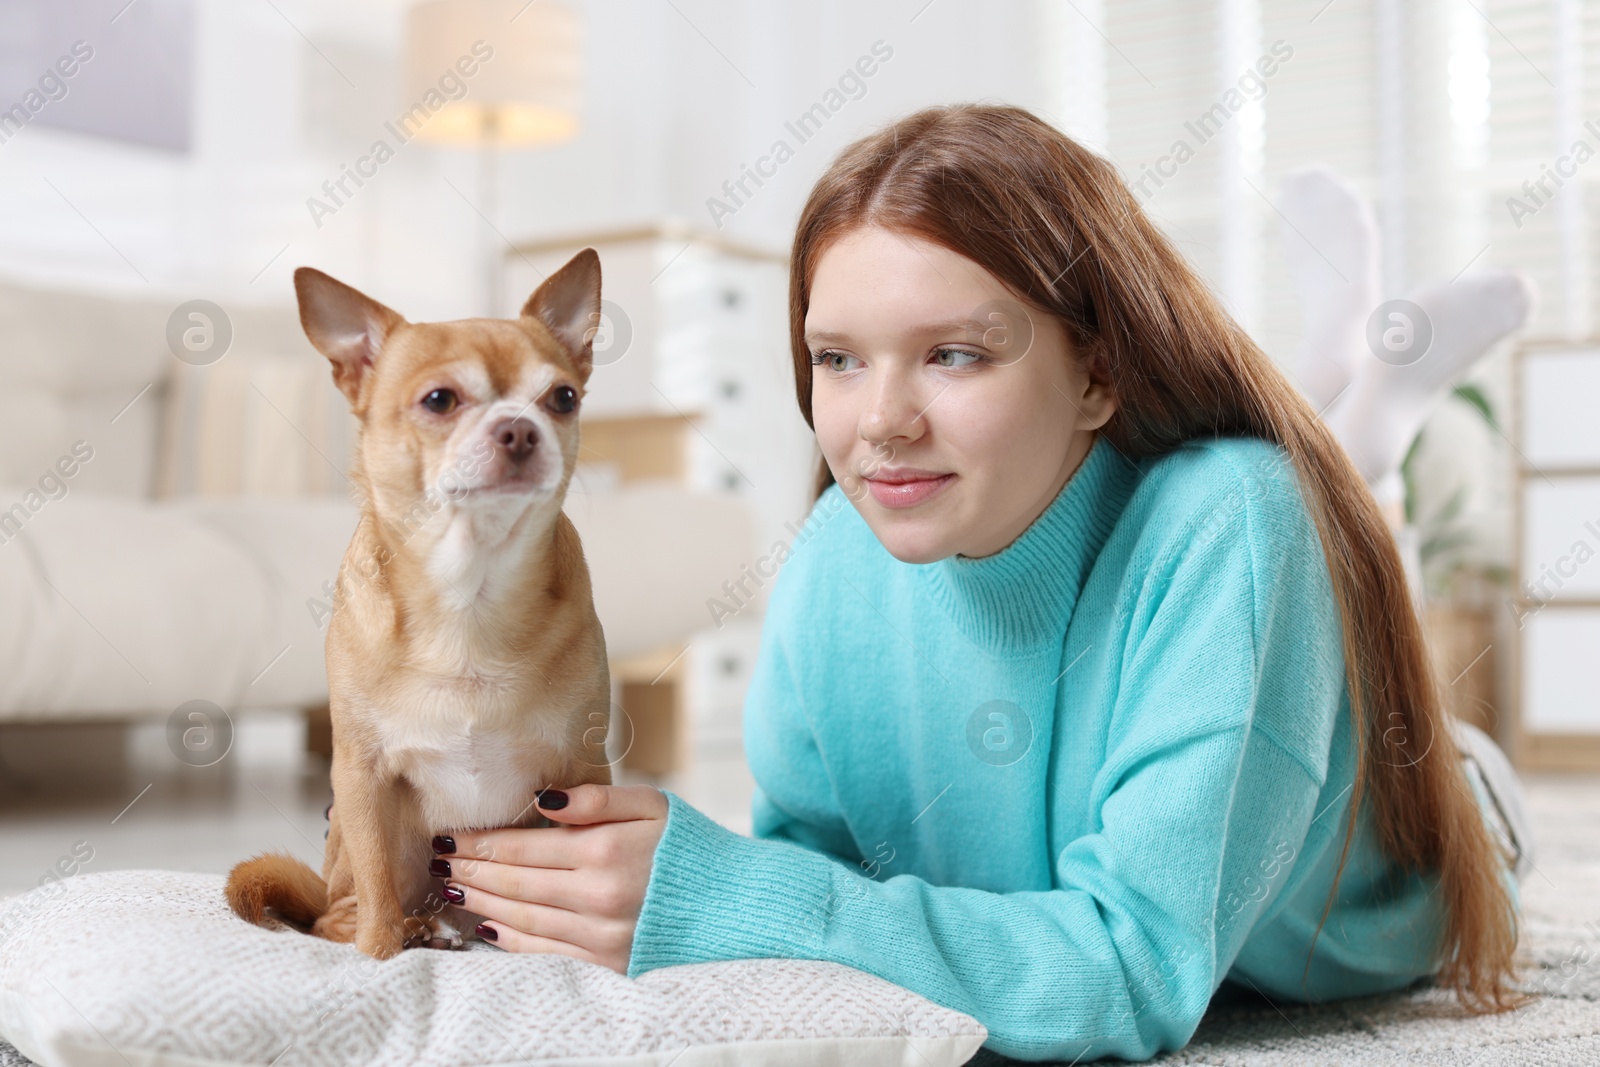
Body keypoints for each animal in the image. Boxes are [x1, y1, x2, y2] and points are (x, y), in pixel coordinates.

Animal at [228, 247, 614, 959]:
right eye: (439, 399)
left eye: (563, 398)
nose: (520, 428)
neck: (470, 591)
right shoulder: (362, 776)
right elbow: (377, 886)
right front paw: (380, 956)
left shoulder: (582, 769)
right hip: (369, 846)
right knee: (335, 912)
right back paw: (412, 929)